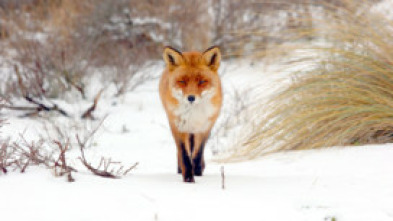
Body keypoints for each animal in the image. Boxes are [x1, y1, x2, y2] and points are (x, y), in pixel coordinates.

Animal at [158, 45, 220, 182]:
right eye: (182, 81)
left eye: (202, 81)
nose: (191, 98)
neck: (193, 115)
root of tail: (190, 51)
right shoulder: (178, 127)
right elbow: (184, 155)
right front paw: (188, 178)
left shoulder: (204, 127)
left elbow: (198, 153)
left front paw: (197, 172)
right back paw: (180, 169)